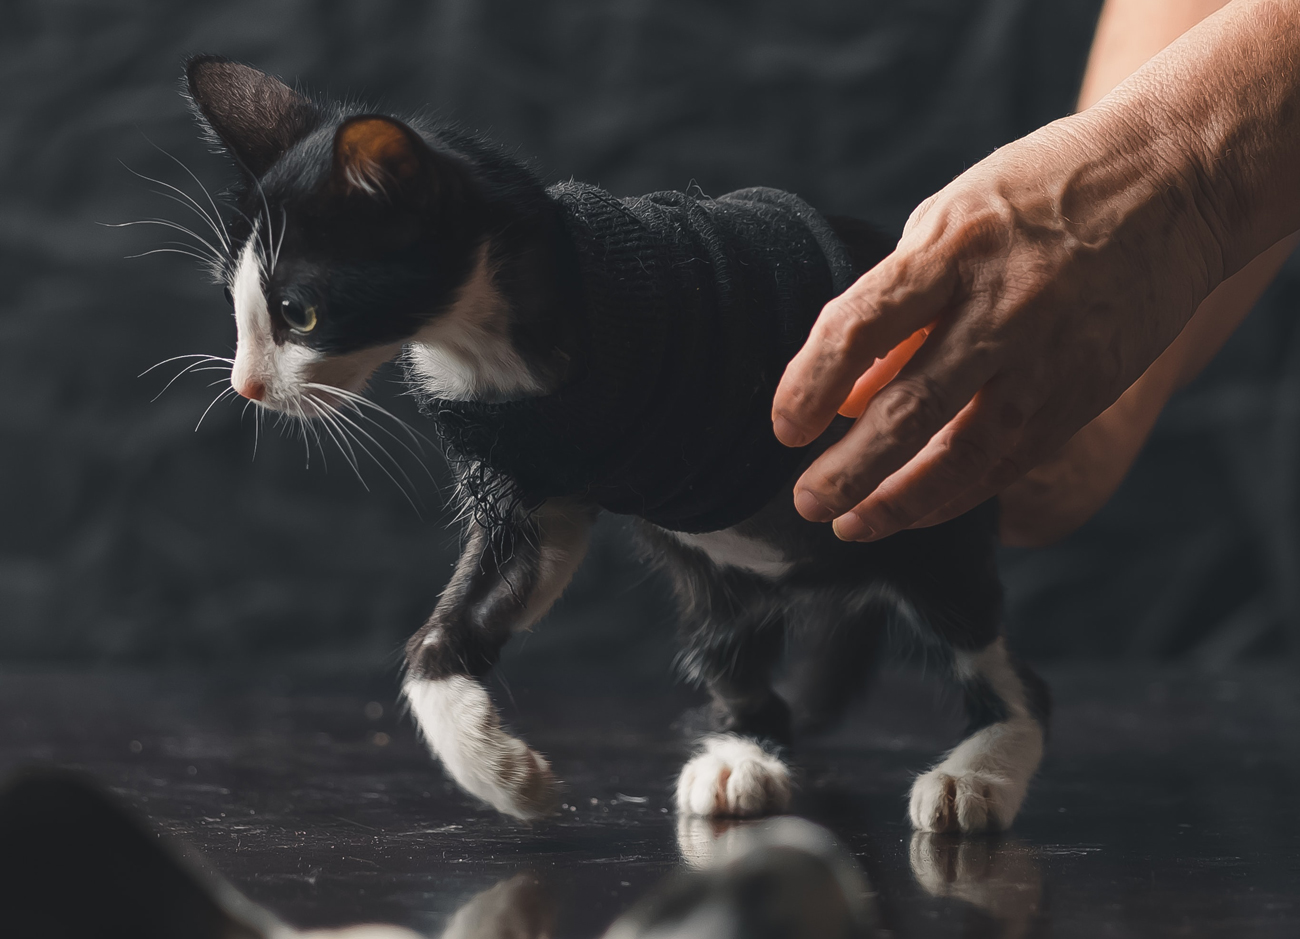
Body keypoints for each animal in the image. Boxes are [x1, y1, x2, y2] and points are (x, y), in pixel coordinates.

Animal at [183, 54, 1050, 832]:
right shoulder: (536, 485)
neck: (485, 342)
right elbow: (465, 611)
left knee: (997, 654)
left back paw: (977, 774)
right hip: (723, 586)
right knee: (738, 656)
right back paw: (743, 754)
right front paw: (501, 771)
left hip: (932, 531)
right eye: (233, 303)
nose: (246, 385)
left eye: (299, 313)